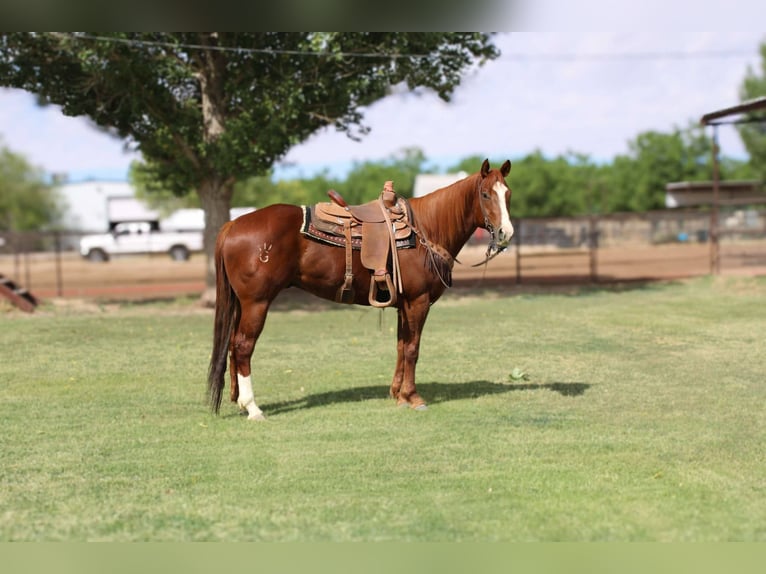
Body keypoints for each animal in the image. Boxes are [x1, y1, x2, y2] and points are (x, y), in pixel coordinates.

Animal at [207, 159, 514, 420]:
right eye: (485, 195)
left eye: (507, 194)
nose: (505, 233)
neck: (426, 229)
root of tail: (233, 224)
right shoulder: (418, 301)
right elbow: (413, 348)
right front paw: (413, 397)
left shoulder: (403, 304)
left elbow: (401, 346)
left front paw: (398, 395)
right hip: (257, 302)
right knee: (243, 346)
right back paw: (253, 408)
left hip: (242, 303)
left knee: (233, 345)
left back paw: (238, 401)